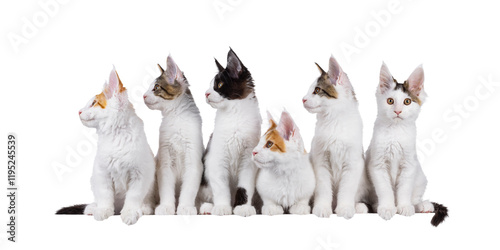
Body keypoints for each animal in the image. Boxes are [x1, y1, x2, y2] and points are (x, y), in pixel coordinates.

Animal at [56, 67, 156, 225]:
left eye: (93, 103)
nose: (79, 111)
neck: (115, 136)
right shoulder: (102, 173)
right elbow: (105, 195)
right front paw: (103, 210)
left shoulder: (140, 175)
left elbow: (133, 197)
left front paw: (130, 212)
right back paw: (92, 208)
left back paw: (145, 208)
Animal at [143, 54, 203, 215]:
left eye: (156, 88)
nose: (143, 95)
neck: (175, 118)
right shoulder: (164, 163)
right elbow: (166, 190)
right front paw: (166, 207)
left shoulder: (194, 162)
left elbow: (188, 190)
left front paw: (186, 207)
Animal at [199, 47, 262, 216]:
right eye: (209, 86)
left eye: (220, 84)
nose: (206, 93)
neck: (235, 116)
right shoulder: (217, 160)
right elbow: (221, 188)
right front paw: (222, 207)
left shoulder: (248, 162)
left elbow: (245, 187)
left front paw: (243, 207)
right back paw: (208, 207)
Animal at [300, 55, 372, 219]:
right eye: (309, 90)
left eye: (317, 90)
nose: (303, 99)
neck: (333, 122)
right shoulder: (321, 162)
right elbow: (324, 190)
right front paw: (322, 207)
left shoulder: (353, 164)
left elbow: (346, 190)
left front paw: (345, 208)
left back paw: (358, 207)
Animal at [366, 63, 448, 227]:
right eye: (390, 101)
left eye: (407, 102)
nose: (398, 111)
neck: (395, 132)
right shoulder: (377, 165)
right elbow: (385, 190)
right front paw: (387, 208)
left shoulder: (409, 164)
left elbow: (404, 189)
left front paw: (403, 207)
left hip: (420, 177)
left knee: (415, 197)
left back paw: (423, 205)